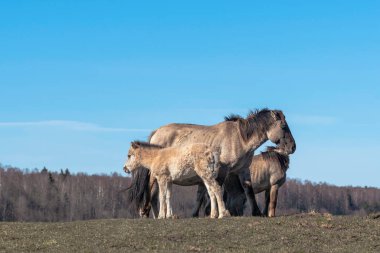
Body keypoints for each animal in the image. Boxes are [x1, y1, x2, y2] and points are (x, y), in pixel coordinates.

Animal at [126, 108, 296, 217]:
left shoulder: (243, 170)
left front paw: (257, 213)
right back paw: (149, 214)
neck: (239, 138)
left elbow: (249, 190)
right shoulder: (223, 170)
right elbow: (216, 189)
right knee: (151, 193)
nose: (293, 147)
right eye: (283, 126)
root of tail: (156, 132)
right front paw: (217, 212)